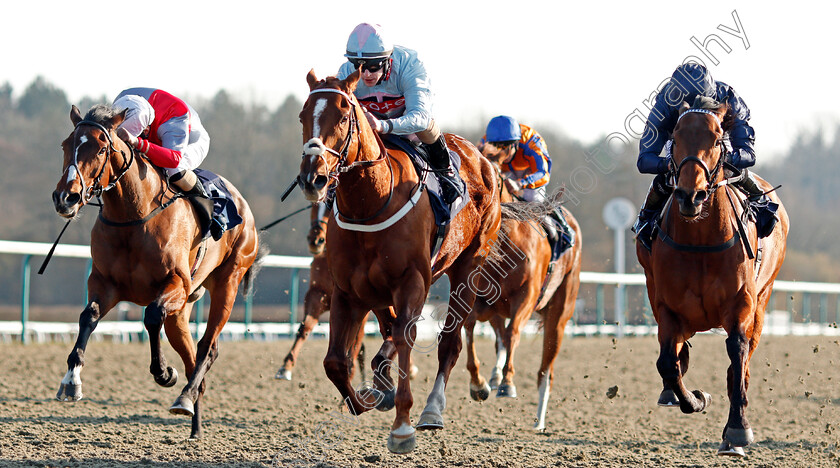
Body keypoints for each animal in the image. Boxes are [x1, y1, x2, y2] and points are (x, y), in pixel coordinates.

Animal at [50, 104, 260, 440]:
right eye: (65, 145)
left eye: (101, 148)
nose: (65, 198)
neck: (133, 216)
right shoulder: (104, 283)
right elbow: (88, 317)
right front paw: (71, 382)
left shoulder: (175, 284)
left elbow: (151, 316)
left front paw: (163, 373)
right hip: (182, 312)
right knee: (192, 357)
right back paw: (195, 426)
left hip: (227, 282)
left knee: (207, 348)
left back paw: (184, 398)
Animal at [298, 70, 502, 454]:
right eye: (303, 116)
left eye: (344, 116)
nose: (312, 177)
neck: (372, 201)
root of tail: (481, 160)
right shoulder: (348, 290)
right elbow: (336, 362)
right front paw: (369, 397)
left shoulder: (411, 282)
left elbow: (407, 337)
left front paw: (402, 425)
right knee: (388, 330)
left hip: (469, 264)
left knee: (449, 342)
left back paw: (432, 409)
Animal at [460, 151, 584, 432]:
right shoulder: (482, 298)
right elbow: (470, 328)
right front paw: (479, 384)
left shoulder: (526, 297)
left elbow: (513, 333)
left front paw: (507, 384)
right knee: (499, 338)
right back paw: (495, 377)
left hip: (559, 314)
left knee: (545, 369)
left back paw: (539, 420)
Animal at [640, 99, 792, 458]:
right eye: (676, 136)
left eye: (716, 138)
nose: (690, 195)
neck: (700, 241)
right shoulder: (666, 307)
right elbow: (668, 363)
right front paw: (695, 398)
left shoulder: (741, 304)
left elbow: (737, 352)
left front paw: (737, 429)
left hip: (763, 300)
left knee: (744, 361)